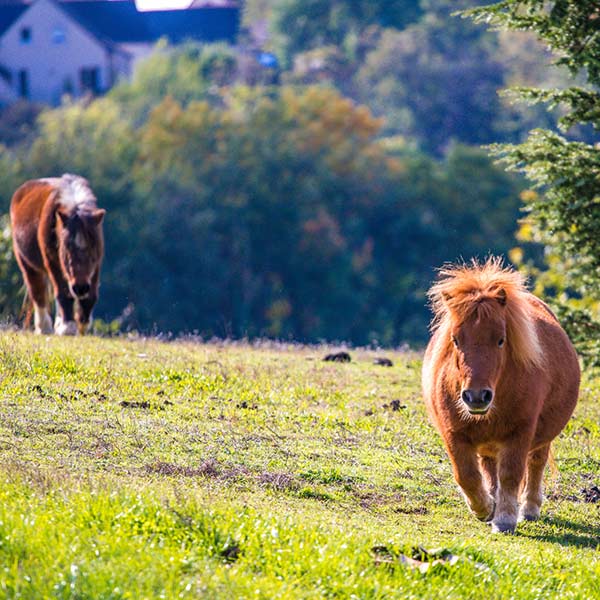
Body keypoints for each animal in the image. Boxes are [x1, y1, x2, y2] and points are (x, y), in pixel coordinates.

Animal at [10, 173, 105, 336]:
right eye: (67, 248)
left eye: (93, 248)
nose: (80, 288)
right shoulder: (53, 262)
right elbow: (63, 292)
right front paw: (68, 326)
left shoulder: (96, 266)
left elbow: (90, 297)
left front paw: (82, 324)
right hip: (27, 263)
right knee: (38, 291)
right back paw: (44, 327)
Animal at [422, 258, 580, 536]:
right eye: (455, 340)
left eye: (500, 340)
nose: (476, 397)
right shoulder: (453, 434)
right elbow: (467, 476)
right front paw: (485, 509)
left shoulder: (519, 433)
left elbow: (511, 475)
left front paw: (504, 519)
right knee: (488, 469)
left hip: (539, 438)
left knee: (536, 463)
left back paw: (529, 509)